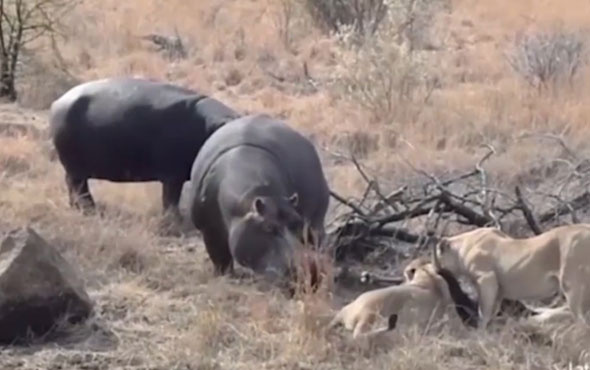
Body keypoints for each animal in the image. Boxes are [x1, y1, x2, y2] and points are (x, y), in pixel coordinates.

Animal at [430, 224, 590, 328]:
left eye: (437, 255)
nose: (434, 268)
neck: (461, 247)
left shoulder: (486, 279)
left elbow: (484, 312)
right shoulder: (498, 291)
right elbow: (492, 312)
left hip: (572, 286)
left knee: (581, 320)